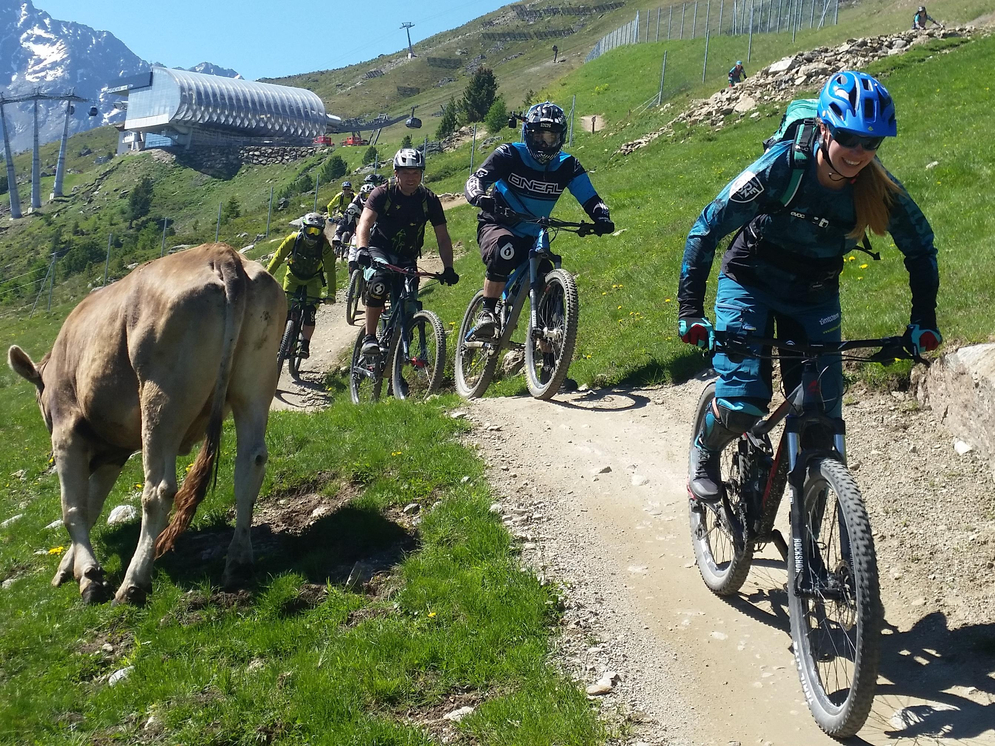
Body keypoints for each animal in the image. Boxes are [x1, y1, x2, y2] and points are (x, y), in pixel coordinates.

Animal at [8, 244, 288, 604]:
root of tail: (221, 254)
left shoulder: (67, 435)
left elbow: (73, 509)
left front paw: (88, 576)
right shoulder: (112, 452)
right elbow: (92, 504)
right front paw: (69, 566)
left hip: (162, 398)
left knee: (158, 489)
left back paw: (133, 582)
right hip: (254, 384)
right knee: (249, 465)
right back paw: (238, 561)